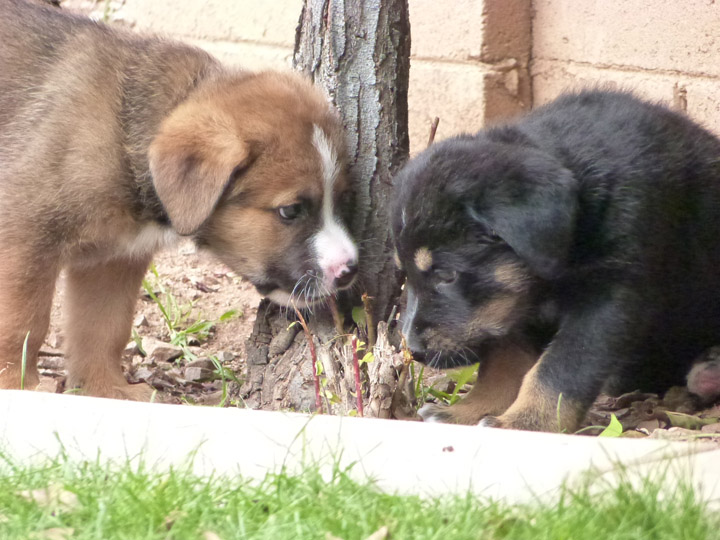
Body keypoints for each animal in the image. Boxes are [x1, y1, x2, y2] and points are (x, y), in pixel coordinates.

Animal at [0, 1, 358, 400]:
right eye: (290, 211)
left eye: (342, 200)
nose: (350, 270)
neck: (125, 137)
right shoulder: (24, 237)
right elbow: (21, 325)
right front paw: (16, 386)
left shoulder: (113, 262)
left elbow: (103, 329)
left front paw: (108, 389)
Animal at [394, 90, 720, 432]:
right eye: (405, 275)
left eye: (446, 275)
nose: (412, 350)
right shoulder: (514, 305)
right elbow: (502, 363)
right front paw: (468, 411)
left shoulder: (612, 293)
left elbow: (560, 368)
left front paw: (526, 421)